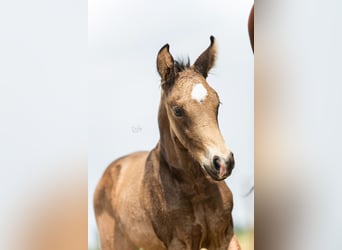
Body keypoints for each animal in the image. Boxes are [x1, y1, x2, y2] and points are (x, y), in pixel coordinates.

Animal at [92, 36, 239, 249]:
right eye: (177, 110)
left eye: (217, 103)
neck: (196, 187)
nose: (223, 163)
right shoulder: (179, 242)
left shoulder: (225, 236)